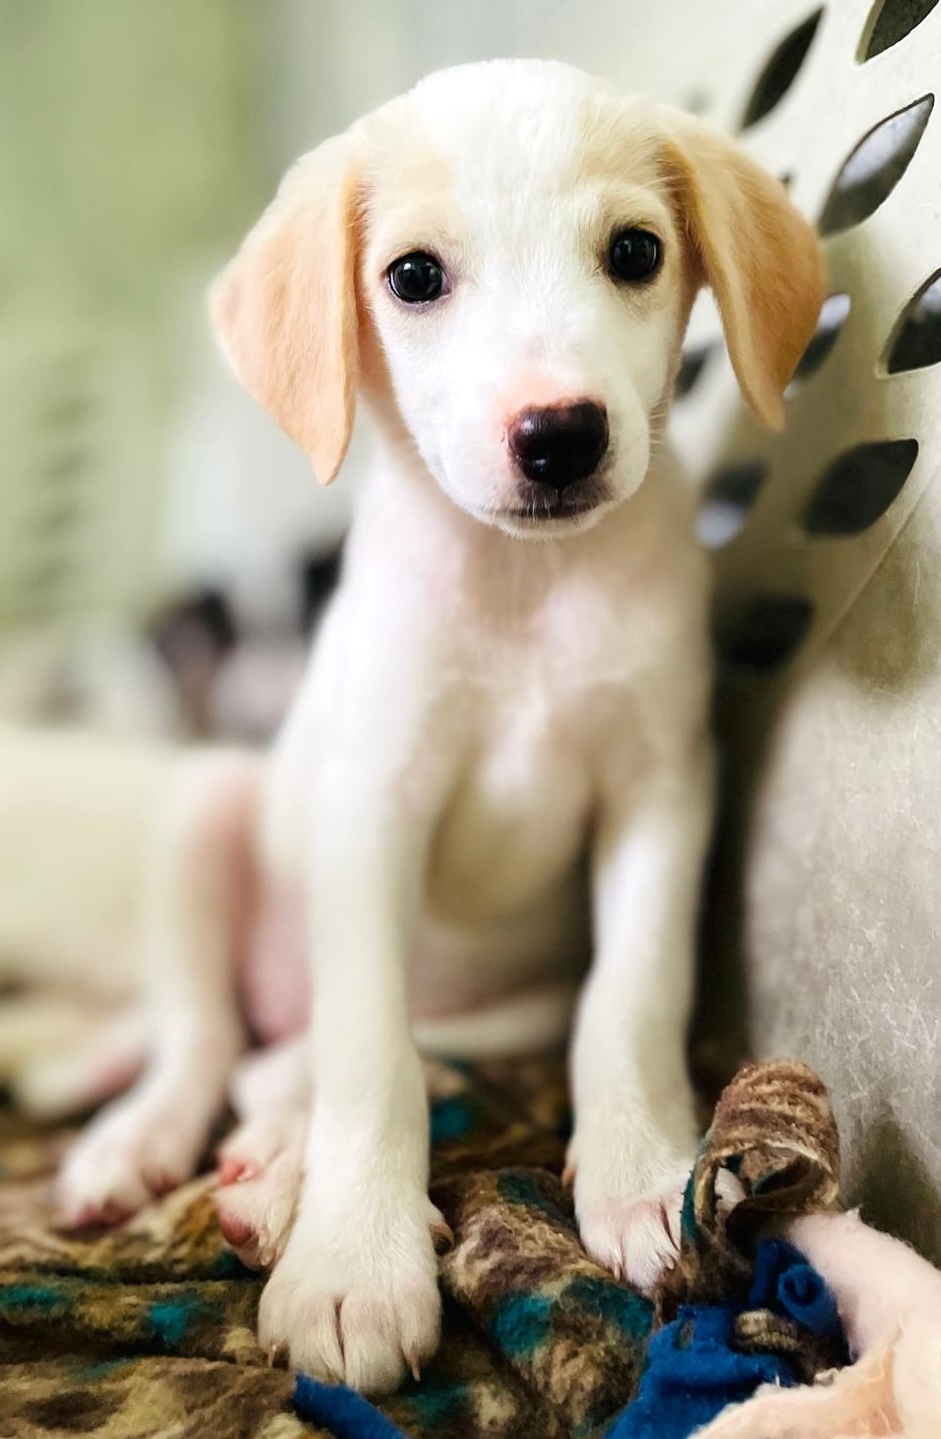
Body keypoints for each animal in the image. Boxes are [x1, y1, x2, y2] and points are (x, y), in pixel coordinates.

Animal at [51, 58, 823, 1392]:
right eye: (413, 275)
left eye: (633, 250)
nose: (559, 434)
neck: (524, 588)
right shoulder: (373, 807)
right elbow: (373, 1053)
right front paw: (353, 1258)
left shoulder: (660, 792)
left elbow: (629, 998)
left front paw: (639, 1169)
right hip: (208, 804)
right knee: (207, 1034)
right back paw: (149, 1141)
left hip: (509, 1002)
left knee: (282, 1060)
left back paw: (267, 1165)